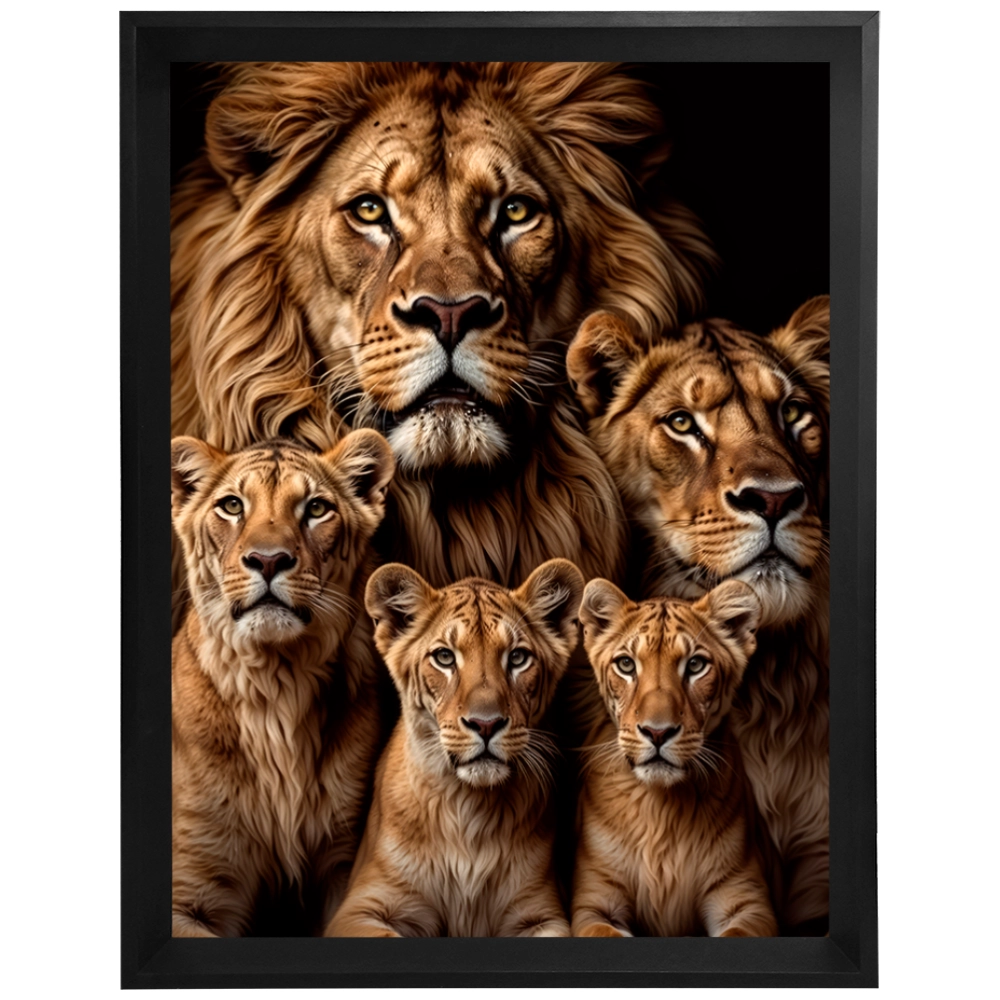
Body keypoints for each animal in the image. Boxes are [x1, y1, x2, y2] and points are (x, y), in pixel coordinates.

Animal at [170, 430, 394, 937]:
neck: (277, 685)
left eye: (316, 508)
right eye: (232, 506)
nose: (268, 560)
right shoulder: (188, 888)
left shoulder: (343, 863)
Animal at [325, 559, 584, 937]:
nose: (486, 724)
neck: (468, 807)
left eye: (518, 658)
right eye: (445, 657)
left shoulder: (540, 912)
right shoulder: (360, 907)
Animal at [574, 578, 777, 938]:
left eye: (695, 665)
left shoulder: (746, 901)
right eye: (626, 665)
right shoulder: (594, 903)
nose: (657, 732)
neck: (662, 810)